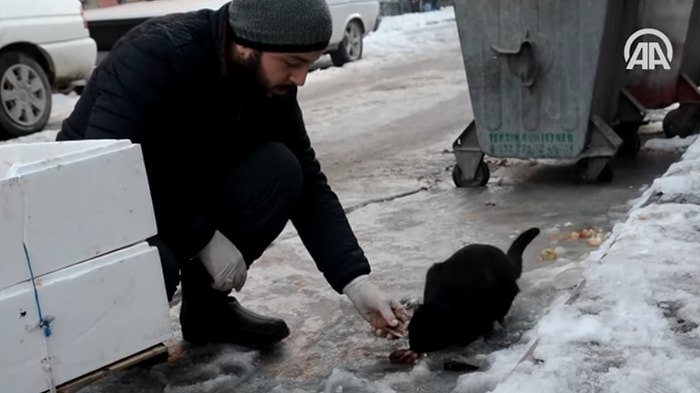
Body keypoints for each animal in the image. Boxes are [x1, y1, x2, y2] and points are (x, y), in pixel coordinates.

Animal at [408, 227, 540, 352]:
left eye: (424, 334)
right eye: (410, 330)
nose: (412, 346)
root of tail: (507, 261)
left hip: (503, 298)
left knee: (499, 316)